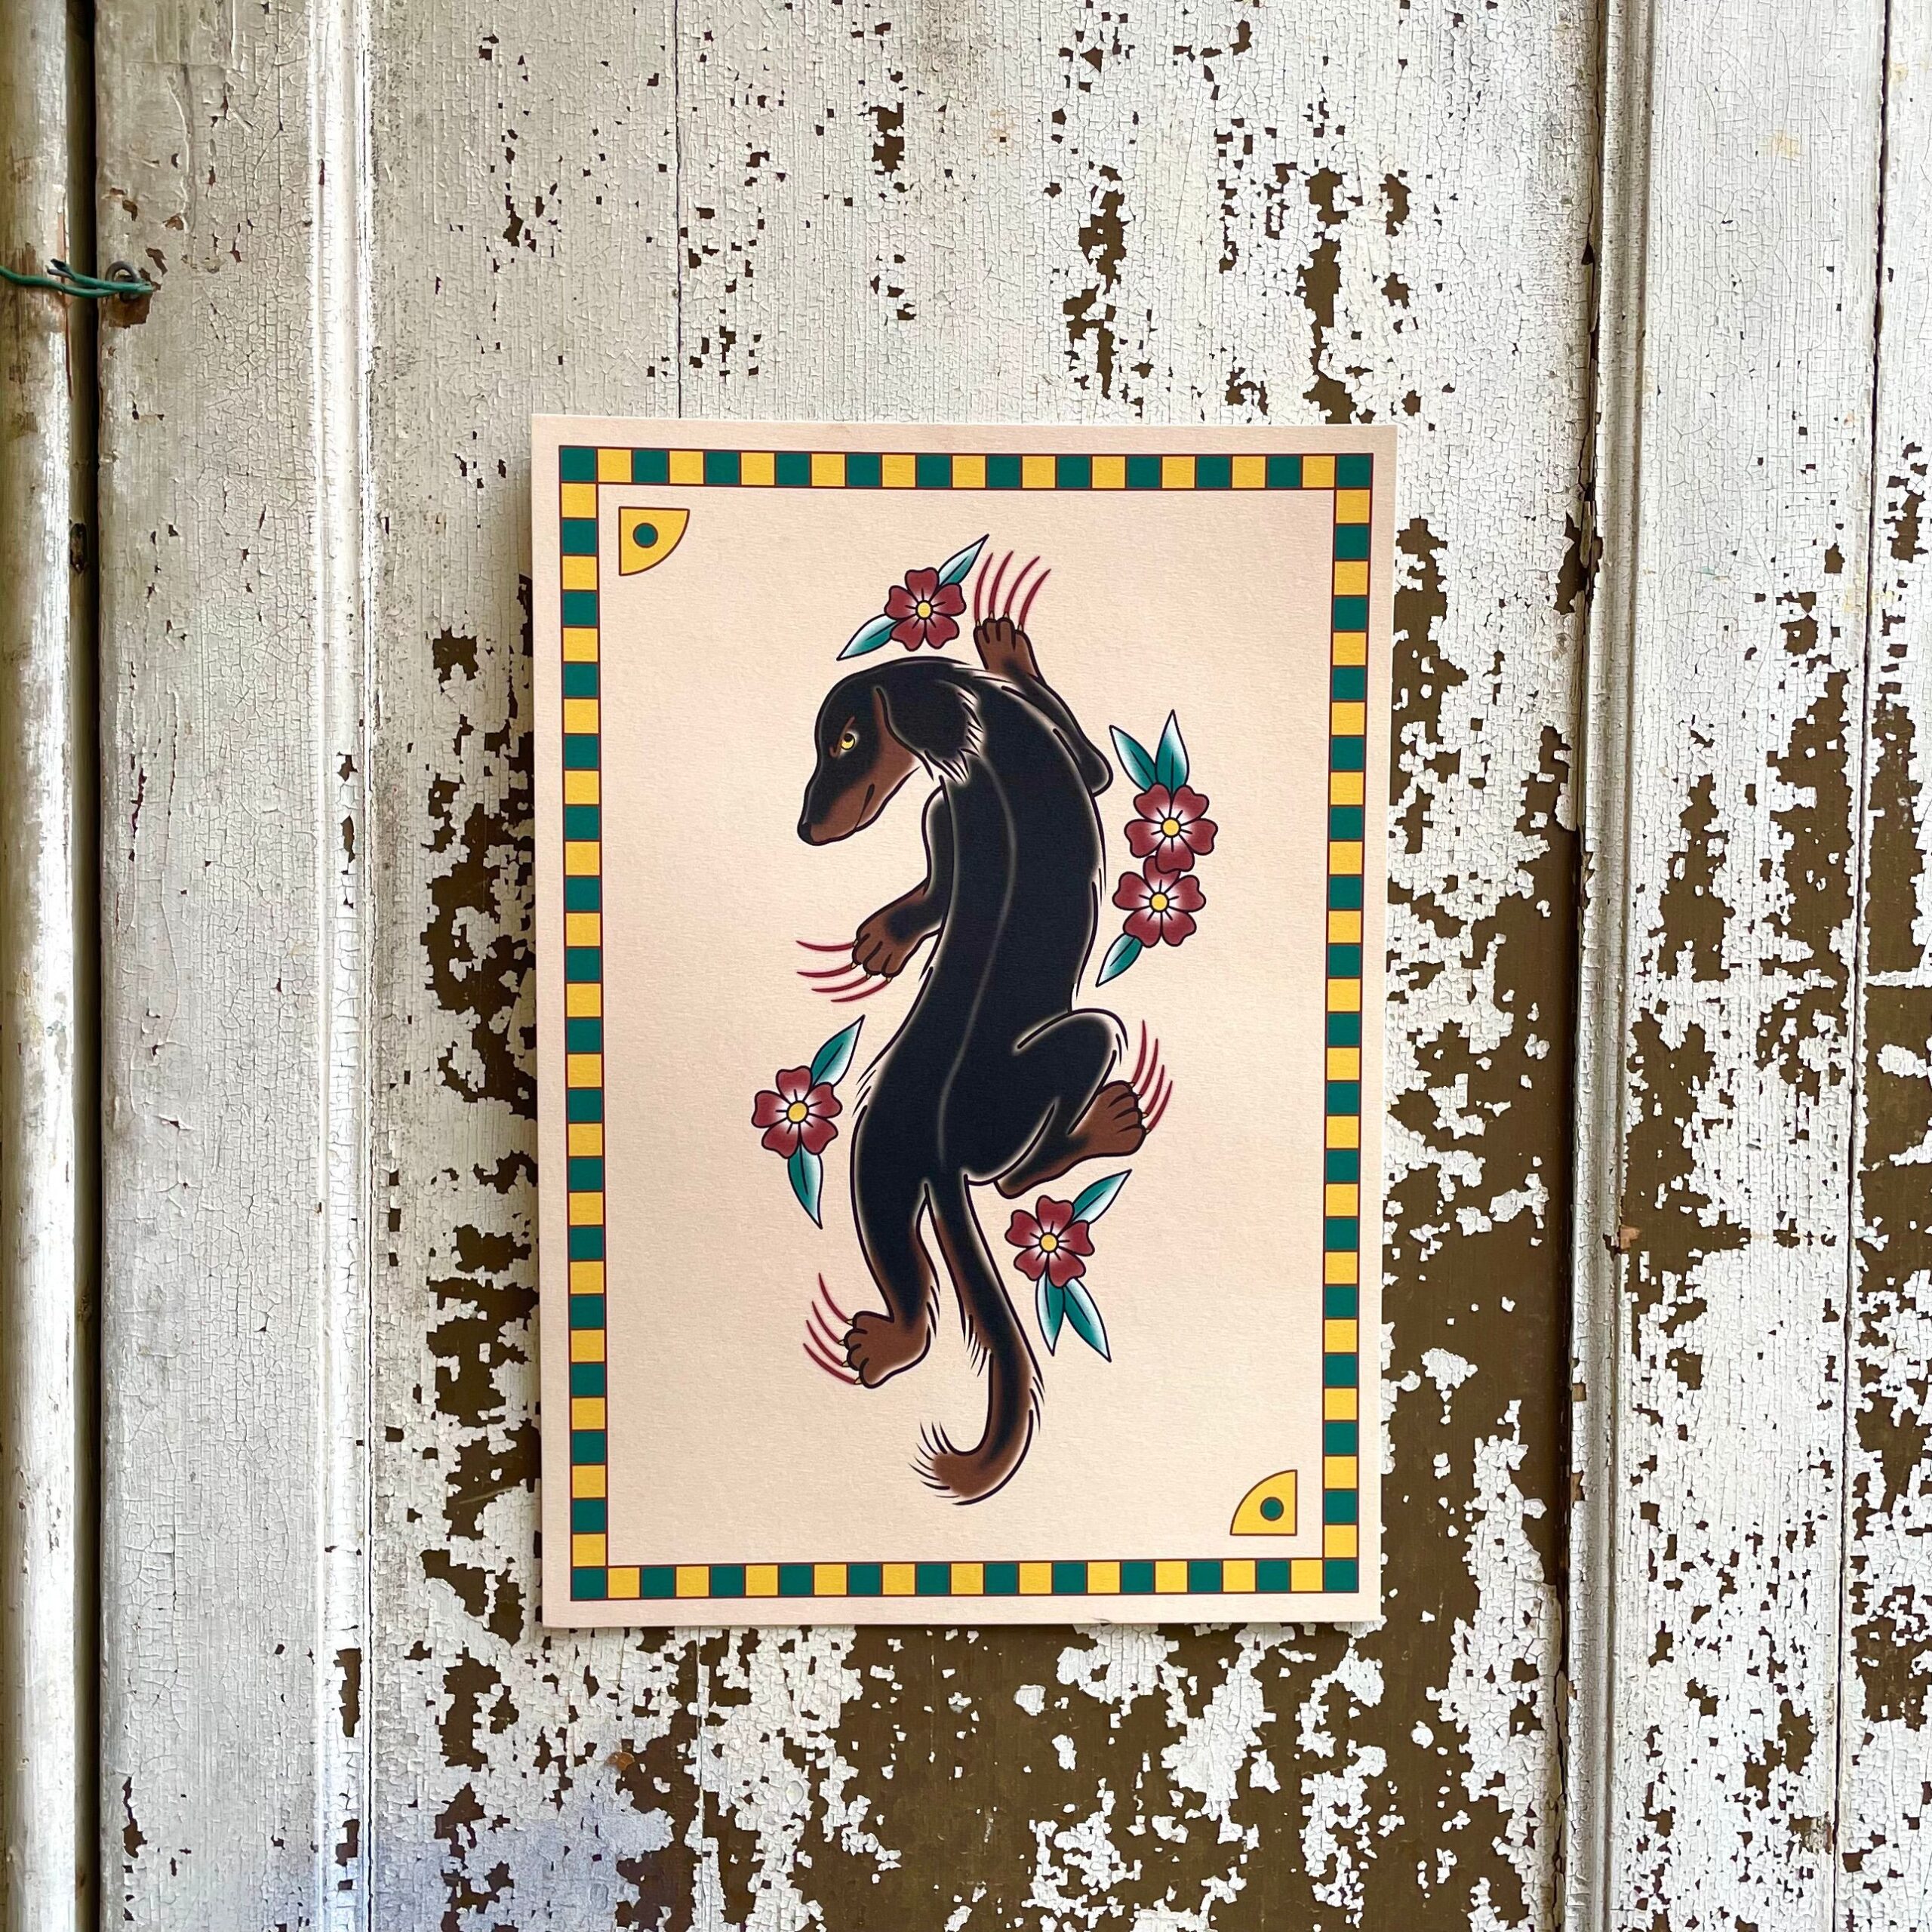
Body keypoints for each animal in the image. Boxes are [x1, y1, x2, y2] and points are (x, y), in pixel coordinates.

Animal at [797, 614, 1151, 1502]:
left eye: (845, 738)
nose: (805, 830)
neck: (977, 733)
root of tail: (940, 1151)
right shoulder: (968, 802)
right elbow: (1090, 769)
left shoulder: (948, 809)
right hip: (1065, 1054)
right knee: (1015, 1180)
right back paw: (1112, 1123)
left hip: (874, 1165)